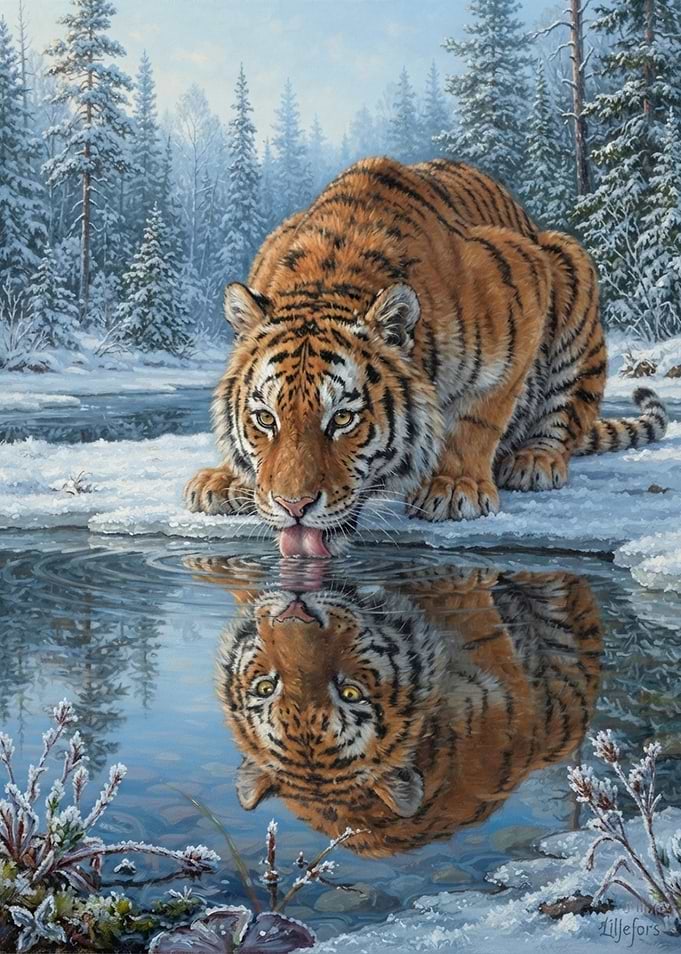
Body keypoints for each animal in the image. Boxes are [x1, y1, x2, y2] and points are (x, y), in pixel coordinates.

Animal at [185, 156, 668, 557]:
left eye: (343, 418)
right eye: (266, 419)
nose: (294, 505)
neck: (329, 277)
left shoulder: (524, 282)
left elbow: (478, 416)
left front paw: (454, 487)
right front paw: (227, 478)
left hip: (569, 263)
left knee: (566, 412)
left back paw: (535, 460)